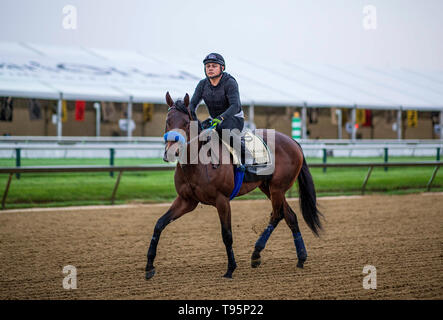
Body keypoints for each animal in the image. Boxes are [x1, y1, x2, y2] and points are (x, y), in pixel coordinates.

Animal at [146, 92, 322, 280]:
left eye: (186, 123)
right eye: (168, 121)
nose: (172, 151)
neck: (198, 163)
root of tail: (293, 142)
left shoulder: (222, 200)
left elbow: (227, 234)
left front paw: (230, 268)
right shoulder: (187, 201)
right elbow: (159, 224)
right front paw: (149, 266)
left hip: (277, 188)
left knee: (277, 215)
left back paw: (256, 254)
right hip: (269, 188)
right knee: (290, 216)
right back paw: (301, 257)